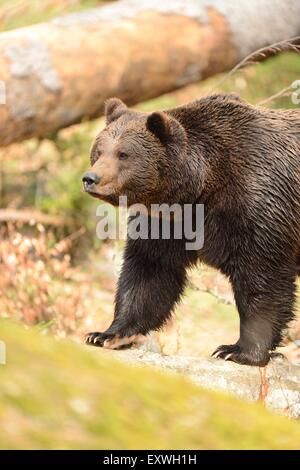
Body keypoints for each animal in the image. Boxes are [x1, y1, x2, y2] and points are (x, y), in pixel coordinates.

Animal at [82, 93, 300, 368]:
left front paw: (238, 350)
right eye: (99, 151)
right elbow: (149, 272)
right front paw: (105, 334)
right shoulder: (168, 224)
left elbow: (262, 275)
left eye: (123, 154)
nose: (91, 178)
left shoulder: (259, 204)